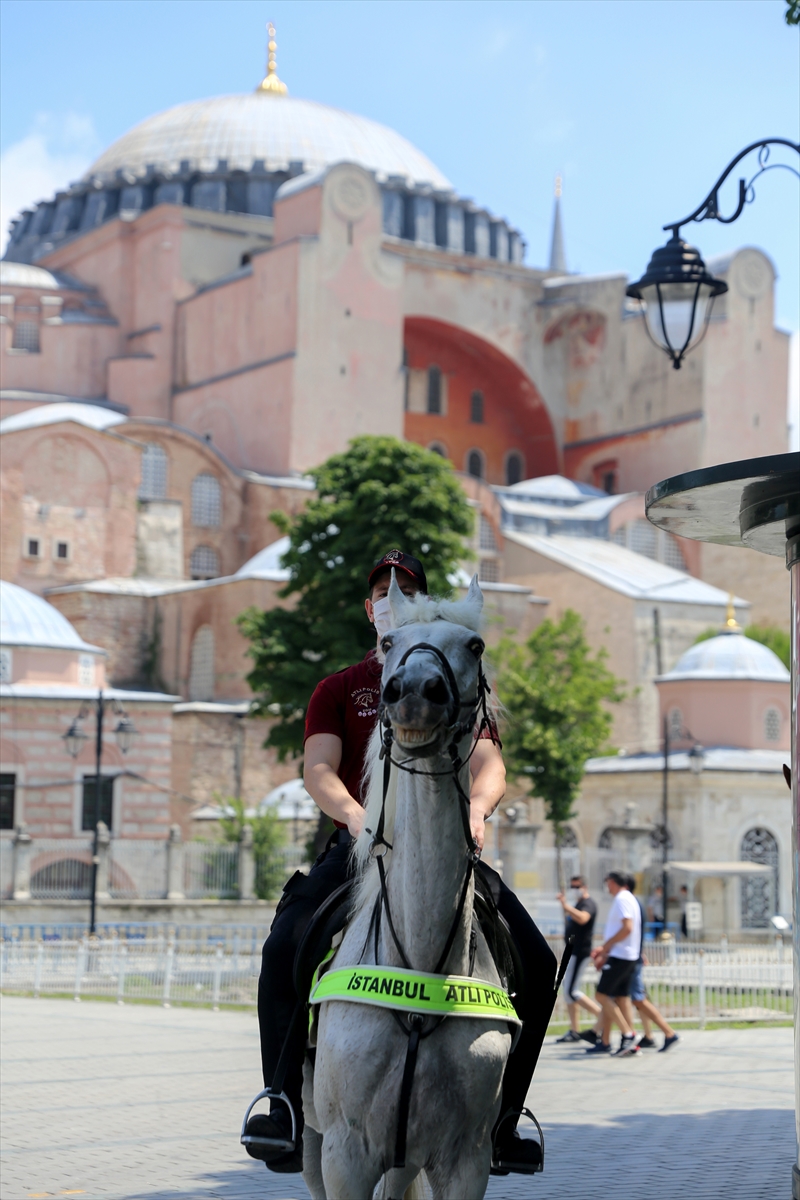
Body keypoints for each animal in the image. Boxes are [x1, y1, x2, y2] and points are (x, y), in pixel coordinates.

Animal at [299, 576, 513, 1195]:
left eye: (475, 645)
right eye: (391, 641)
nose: (415, 690)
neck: (418, 960)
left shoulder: (466, 1159)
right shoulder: (345, 1154)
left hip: (407, 1158)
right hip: (315, 1145)